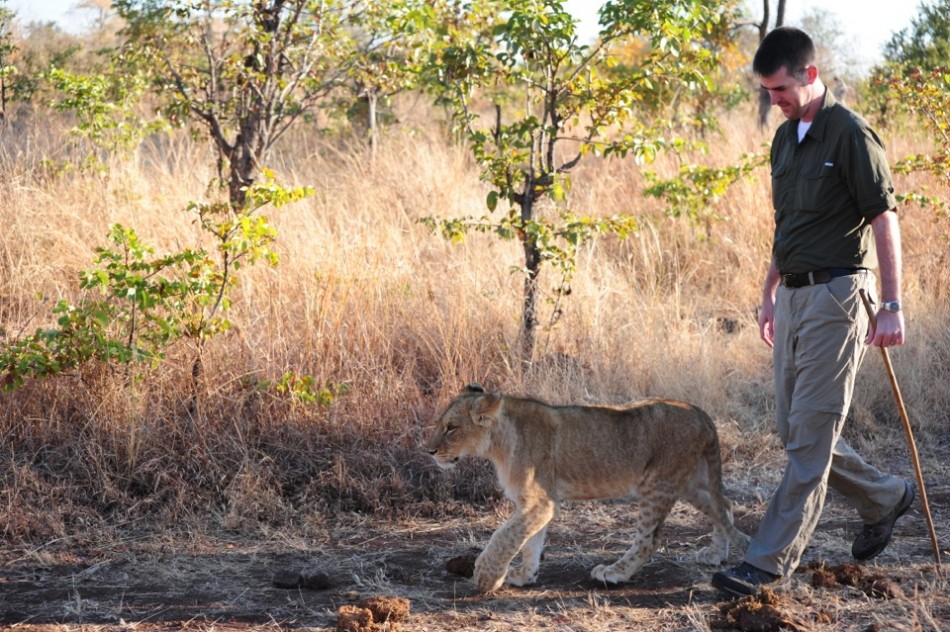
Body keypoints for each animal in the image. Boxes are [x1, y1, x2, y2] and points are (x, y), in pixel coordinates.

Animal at [427, 384, 750, 593]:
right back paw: (715, 555)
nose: (429, 451)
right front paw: (525, 575)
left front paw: (486, 576)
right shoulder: (535, 504)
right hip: (689, 482)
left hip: (659, 483)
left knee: (649, 540)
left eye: (451, 428)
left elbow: (504, 536)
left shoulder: (541, 501)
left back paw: (614, 573)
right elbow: (530, 540)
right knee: (724, 507)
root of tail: (699, 412)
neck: (497, 443)